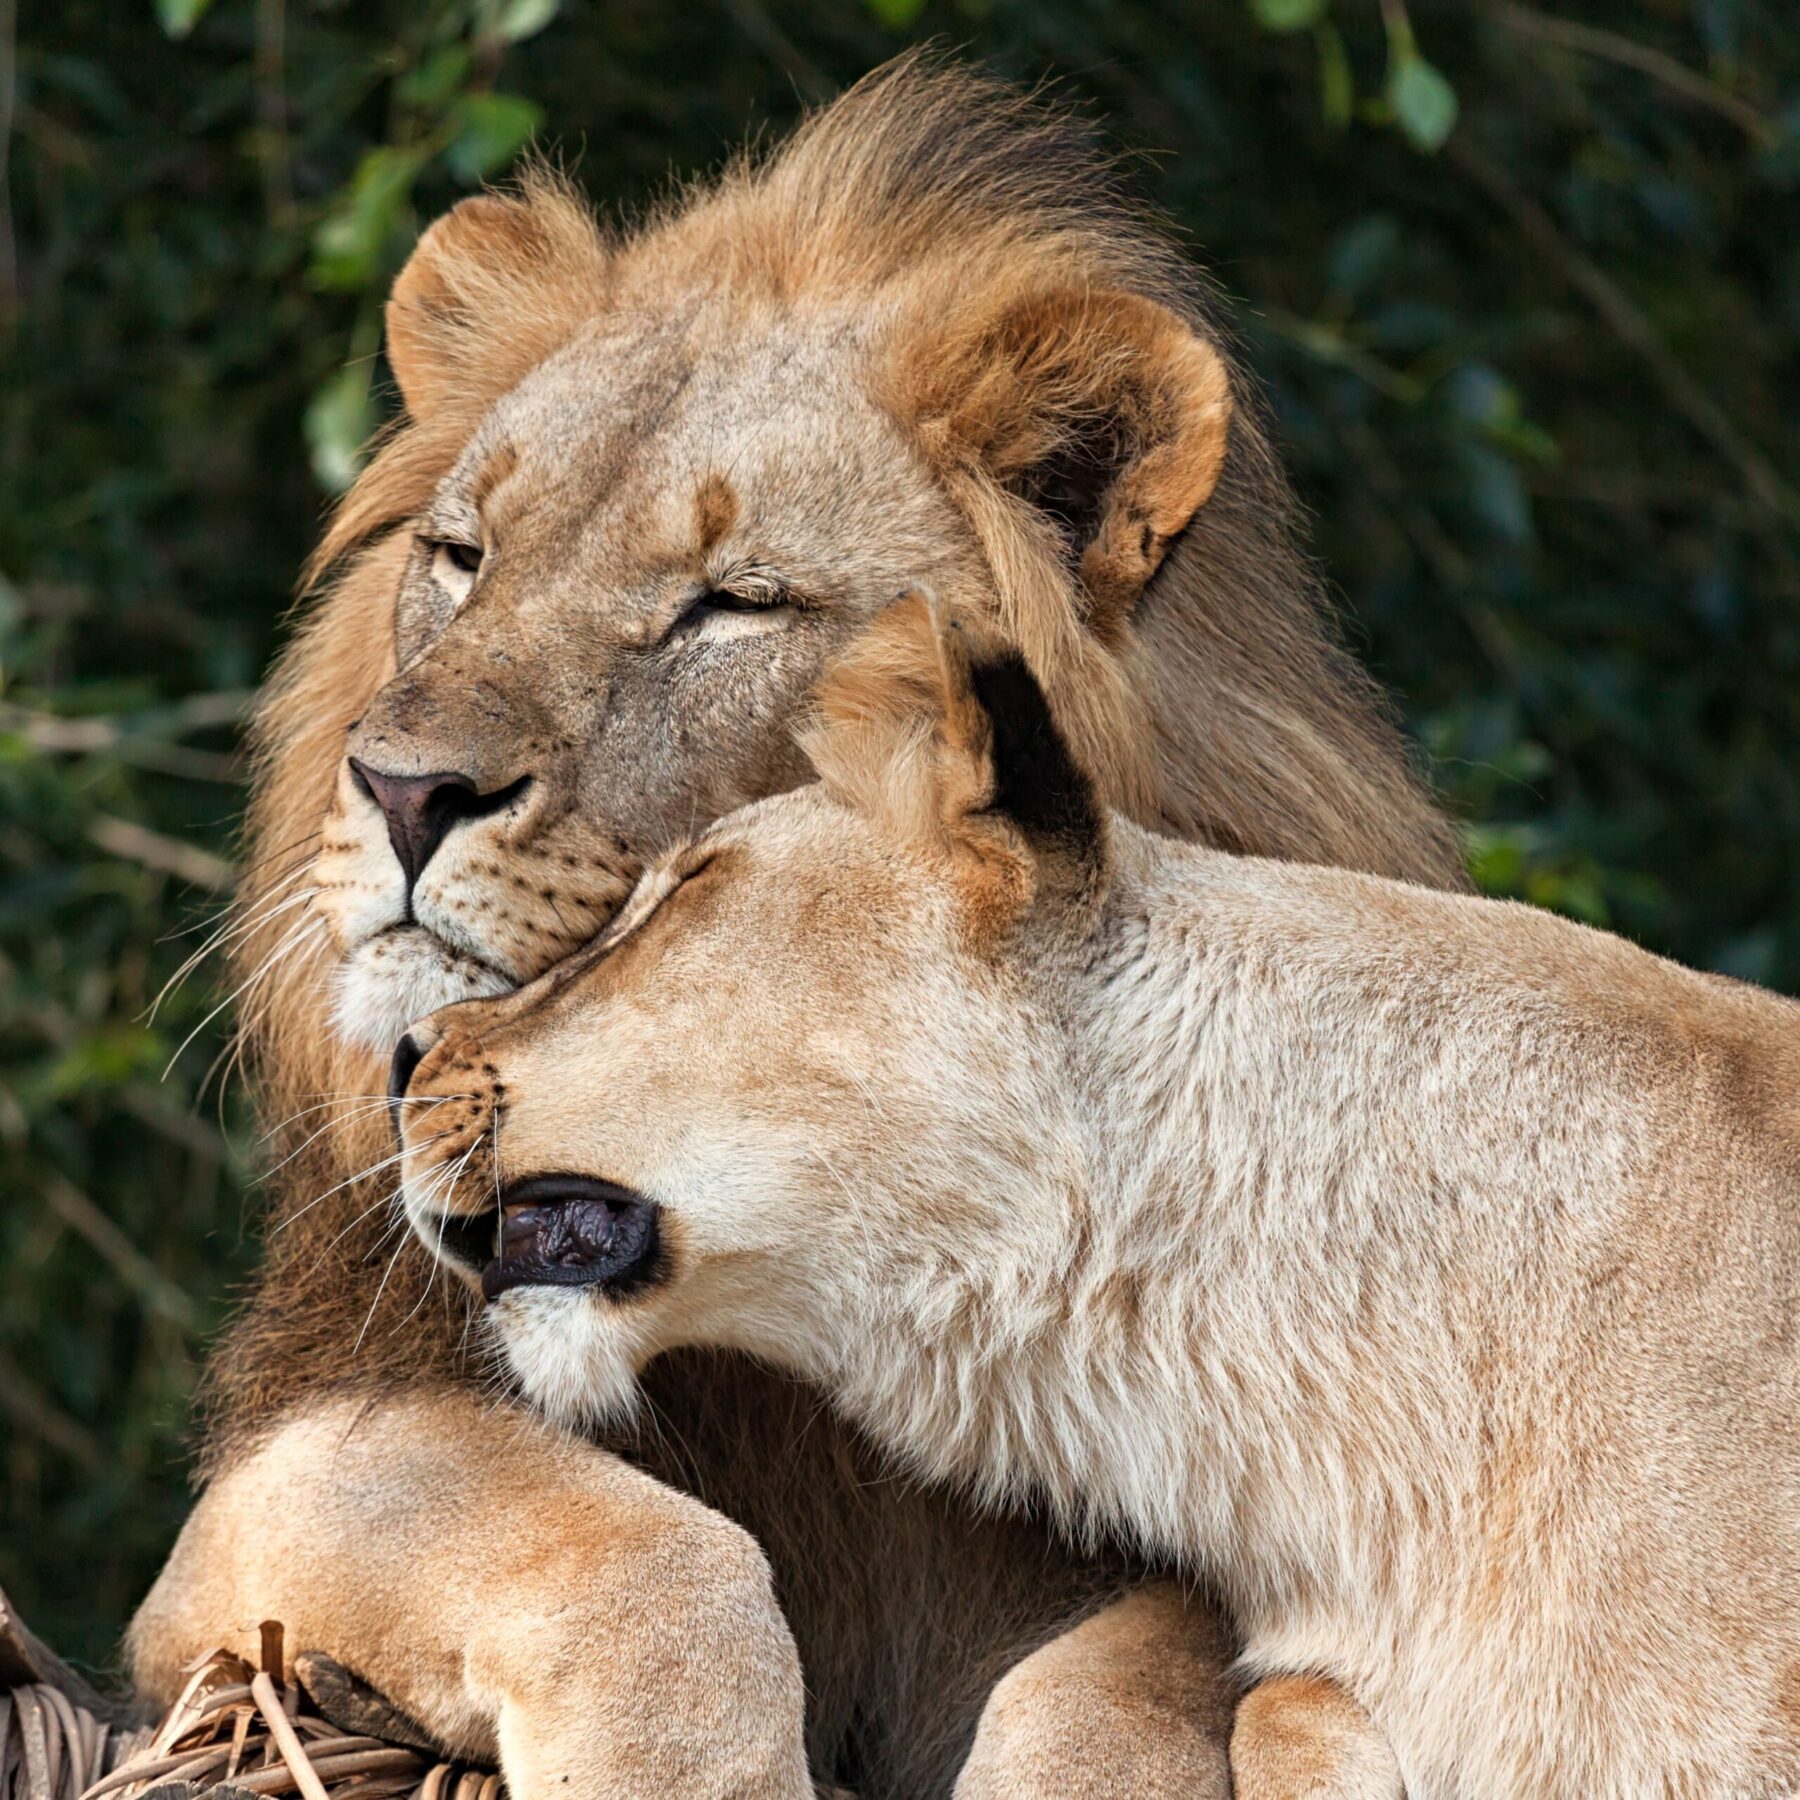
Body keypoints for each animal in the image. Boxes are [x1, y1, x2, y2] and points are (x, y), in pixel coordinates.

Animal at [129, 56, 1465, 1800]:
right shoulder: (275, 1480)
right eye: (462, 558)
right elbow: (643, 1555)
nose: (405, 787)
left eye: (735, 603)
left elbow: (1139, 1679)